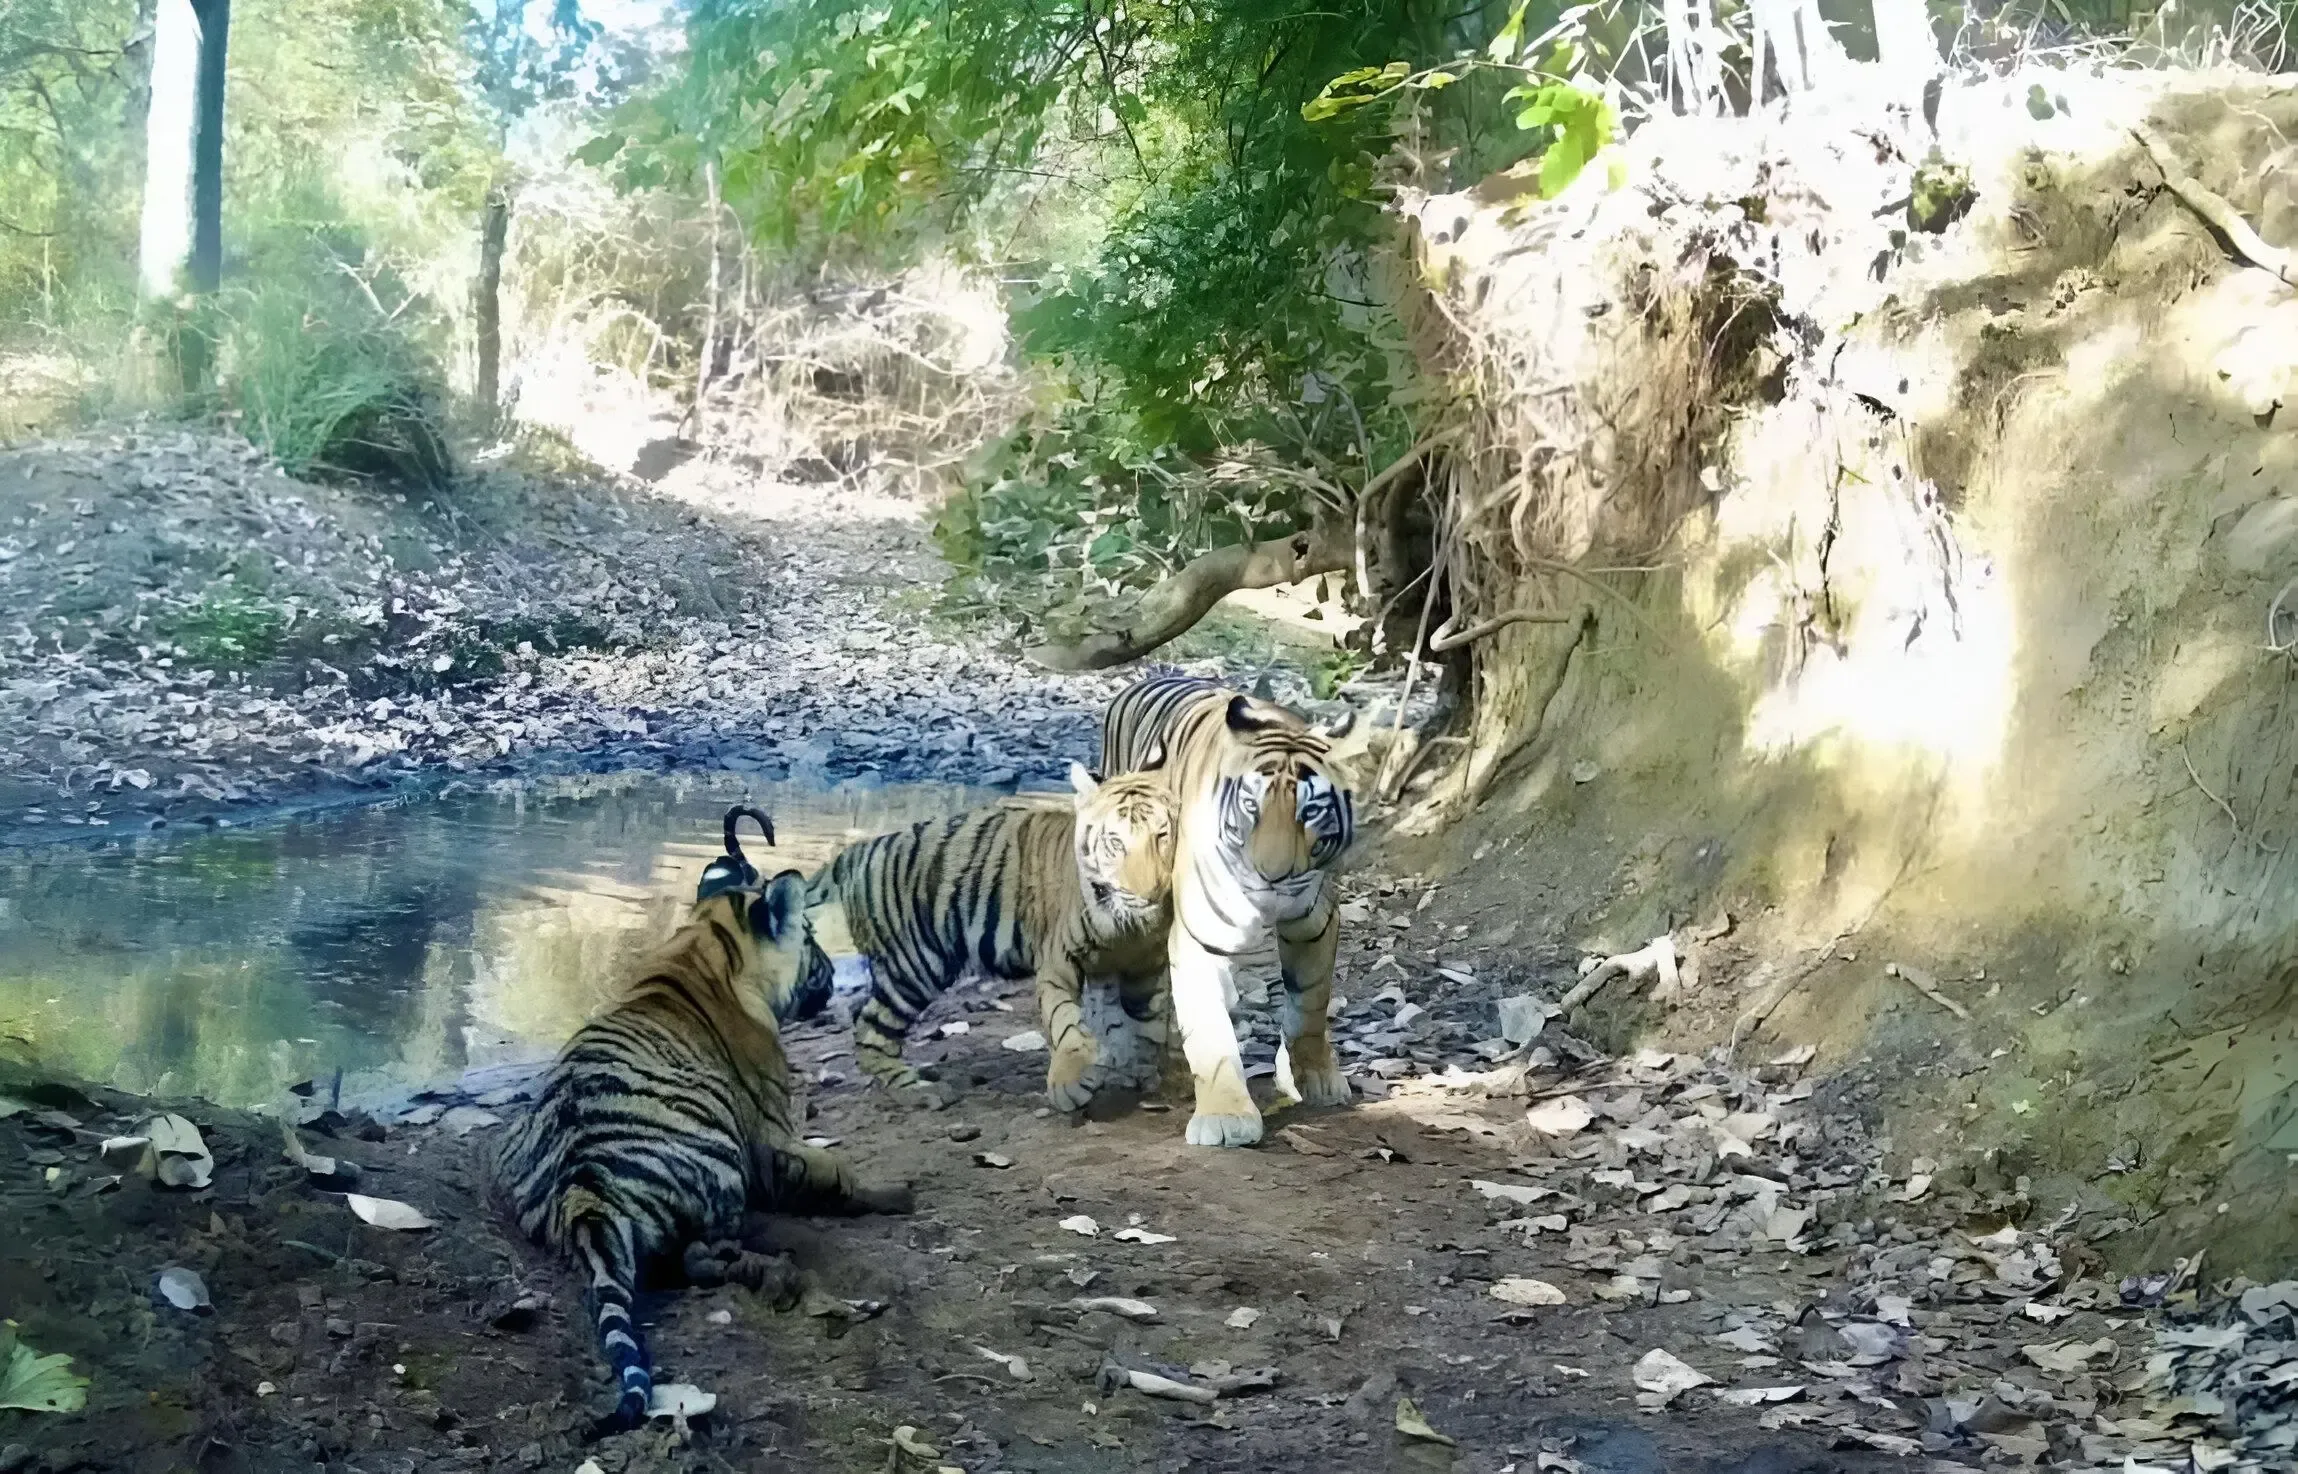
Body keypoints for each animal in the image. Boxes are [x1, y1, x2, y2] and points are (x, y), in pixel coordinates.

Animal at [489, 806, 912, 1431]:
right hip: (721, 1164)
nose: (837, 972)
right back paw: (765, 1269)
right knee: (695, 1255)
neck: (705, 947)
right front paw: (899, 1192)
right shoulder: (772, 1138)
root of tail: (583, 1196)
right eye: (810, 937)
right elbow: (837, 1173)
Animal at [805, 762, 1178, 1111]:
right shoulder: (1058, 959)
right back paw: (920, 1091)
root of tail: (860, 850)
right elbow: (1064, 1020)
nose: (1148, 894)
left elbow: (1148, 1022)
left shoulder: (1146, 963)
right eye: (1115, 842)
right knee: (869, 1030)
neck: (1128, 925)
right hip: (914, 967)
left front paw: (1139, 1072)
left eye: (1162, 836)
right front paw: (1069, 1085)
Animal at [1098, 673, 1358, 1147]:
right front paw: (1224, 1116)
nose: (1273, 876)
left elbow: (1311, 1002)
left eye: (1310, 811)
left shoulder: (1314, 921)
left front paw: (1316, 1078)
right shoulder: (1200, 934)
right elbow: (1209, 1030)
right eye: (1252, 806)